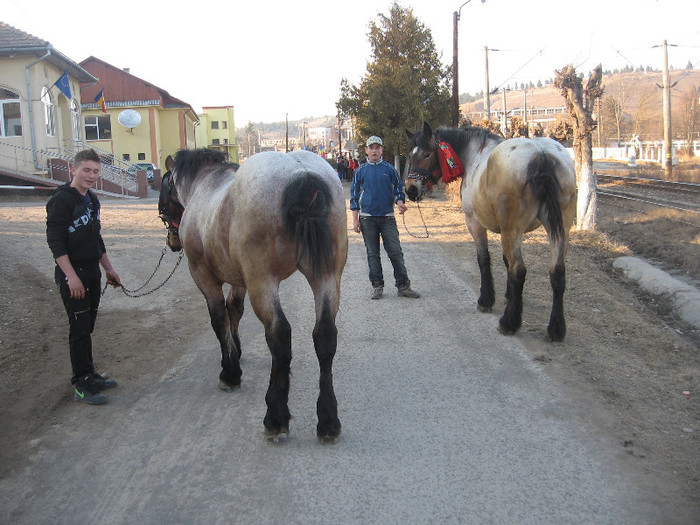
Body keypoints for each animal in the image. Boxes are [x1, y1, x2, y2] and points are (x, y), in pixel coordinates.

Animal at [165, 148, 350, 442]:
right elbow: (234, 310)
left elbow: (219, 318)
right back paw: (328, 420)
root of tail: (301, 173)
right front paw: (236, 351)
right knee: (325, 334)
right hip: (326, 275)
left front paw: (230, 371)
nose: (172, 241)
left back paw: (275, 416)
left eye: (166, 188)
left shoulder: (204, 276)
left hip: (263, 281)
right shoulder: (239, 279)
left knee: (280, 334)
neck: (206, 183)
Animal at [402, 122, 576, 340]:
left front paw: (486, 300)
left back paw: (509, 322)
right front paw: (510, 296)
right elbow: (505, 261)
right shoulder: (508, 231)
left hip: (514, 229)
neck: (475, 154)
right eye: (410, 154)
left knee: (519, 269)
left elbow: (484, 259)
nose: (411, 189)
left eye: (427, 154)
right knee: (557, 271)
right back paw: (556, 329)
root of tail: (541, 156)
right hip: (559, 229)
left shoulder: (475, 223)